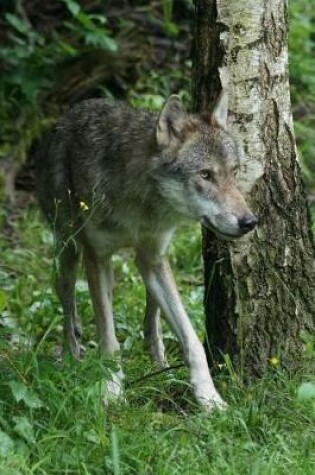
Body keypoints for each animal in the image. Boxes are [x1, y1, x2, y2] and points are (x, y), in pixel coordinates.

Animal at [36, 94, 260, 412]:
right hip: (69, 255)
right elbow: (109, 339)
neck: (140, 204)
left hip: (151, 263)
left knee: (151, 314)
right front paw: (112, 389)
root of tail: (73, 110)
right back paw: (73, 355)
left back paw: (159, 361)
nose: (249, 222)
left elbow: (192, 339)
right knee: (69, 306)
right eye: (205, 175)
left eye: (235, 172)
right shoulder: (96, 257)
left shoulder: (154, 256)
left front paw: (209, 398)